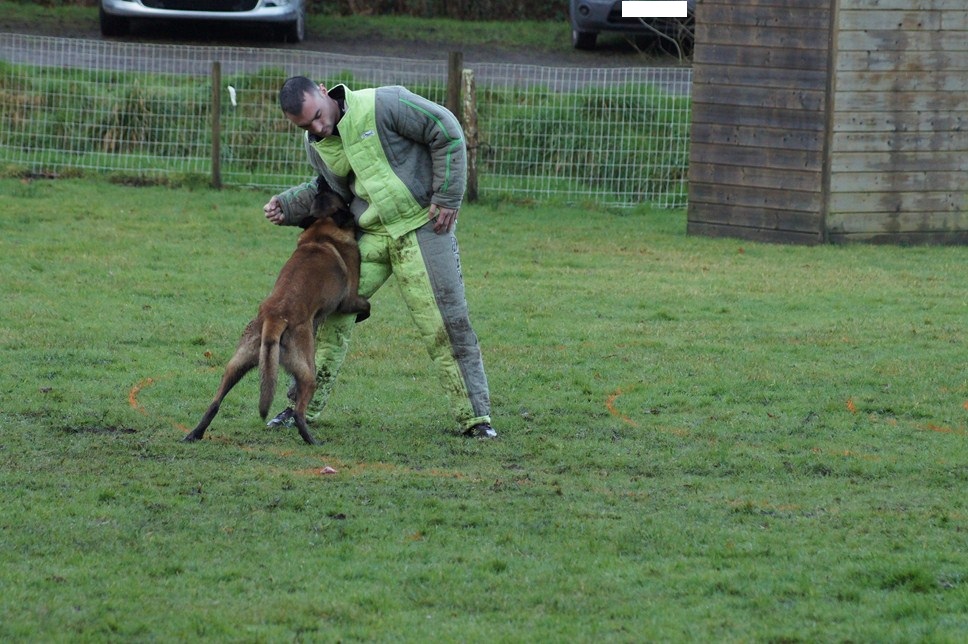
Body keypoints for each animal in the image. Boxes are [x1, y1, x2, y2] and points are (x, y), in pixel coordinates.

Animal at [183, 179, 368, 446]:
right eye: (338, 196)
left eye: (322, 191)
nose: (321, 180)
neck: (322, 231)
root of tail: (274, 318)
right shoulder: (349, 299)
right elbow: (365, 304)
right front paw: (364, 314)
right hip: (308, 372)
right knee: (299, 412)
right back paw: (312, 441)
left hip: (235, 365)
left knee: (215, 402)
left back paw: (195, 433)